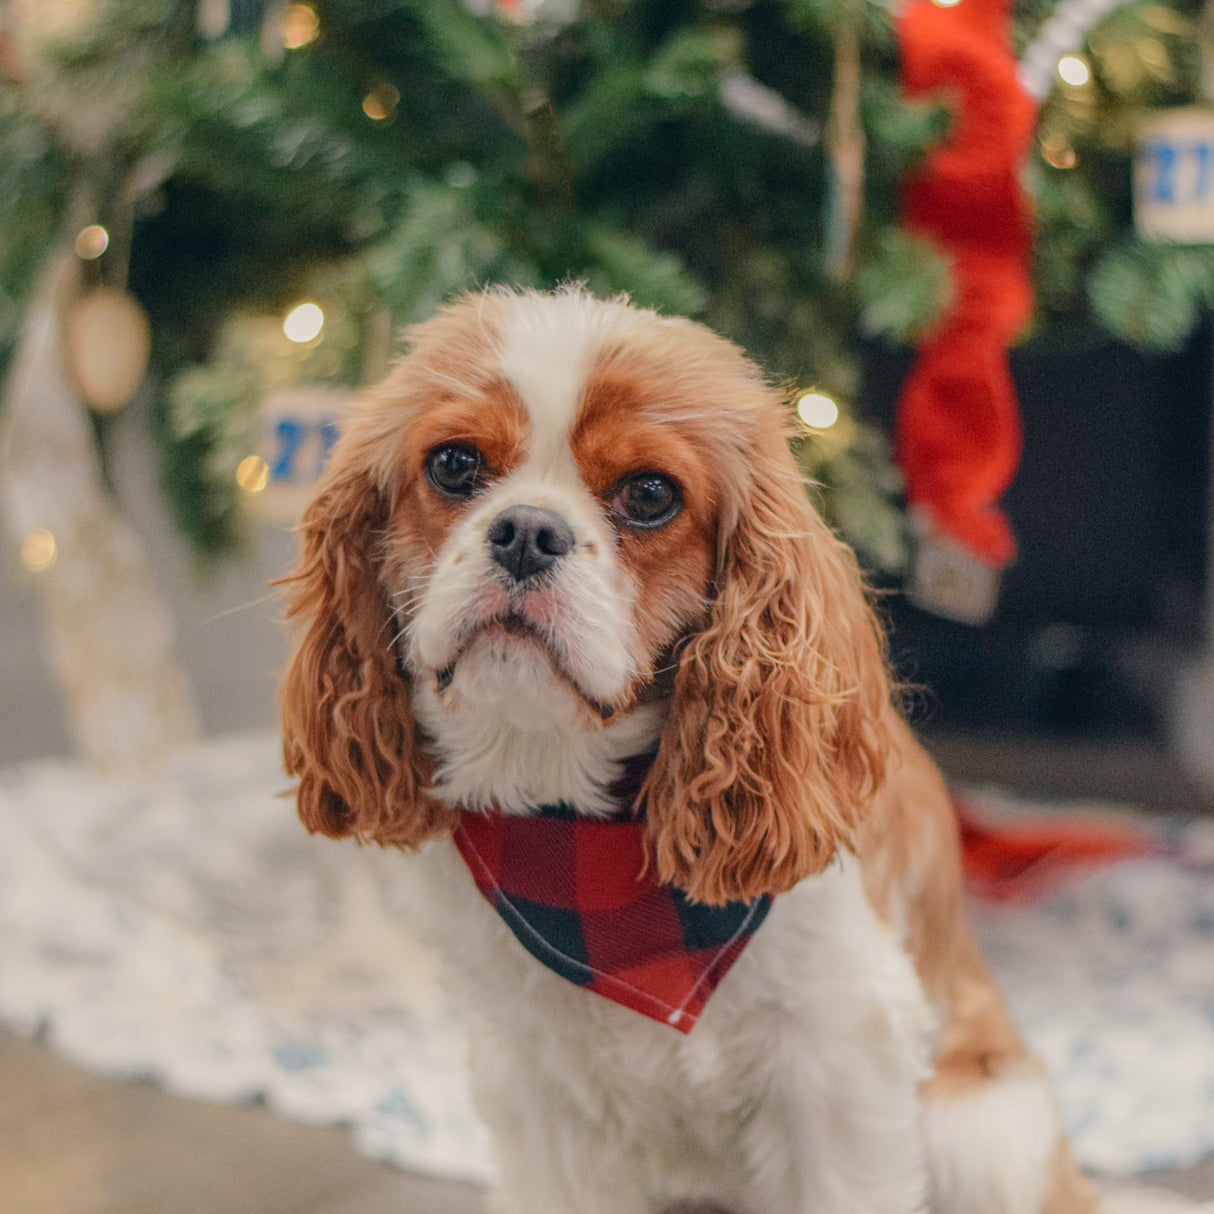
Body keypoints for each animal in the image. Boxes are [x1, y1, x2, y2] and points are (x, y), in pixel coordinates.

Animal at [281, 286, 1102, 1214]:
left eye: (649, 494)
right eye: (453, 466)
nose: (526, 531)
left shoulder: (838, 1061)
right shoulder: (531, 1079)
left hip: (982, 1133)